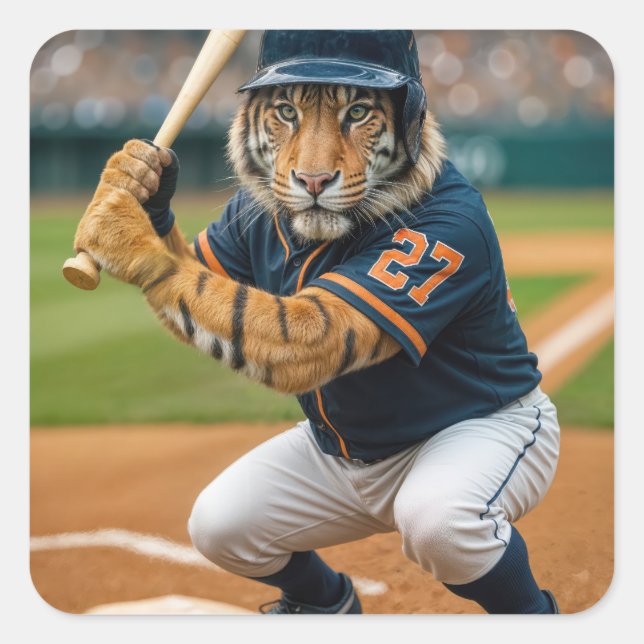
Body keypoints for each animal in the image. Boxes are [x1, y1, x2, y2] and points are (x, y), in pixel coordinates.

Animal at [73, 82, 446, 395]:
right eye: (287, 112)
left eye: (357, 113)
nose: (313, 180)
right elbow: (194, 278)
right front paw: (131, 173)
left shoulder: (430, 236)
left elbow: (308, 326)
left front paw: (122, 230)